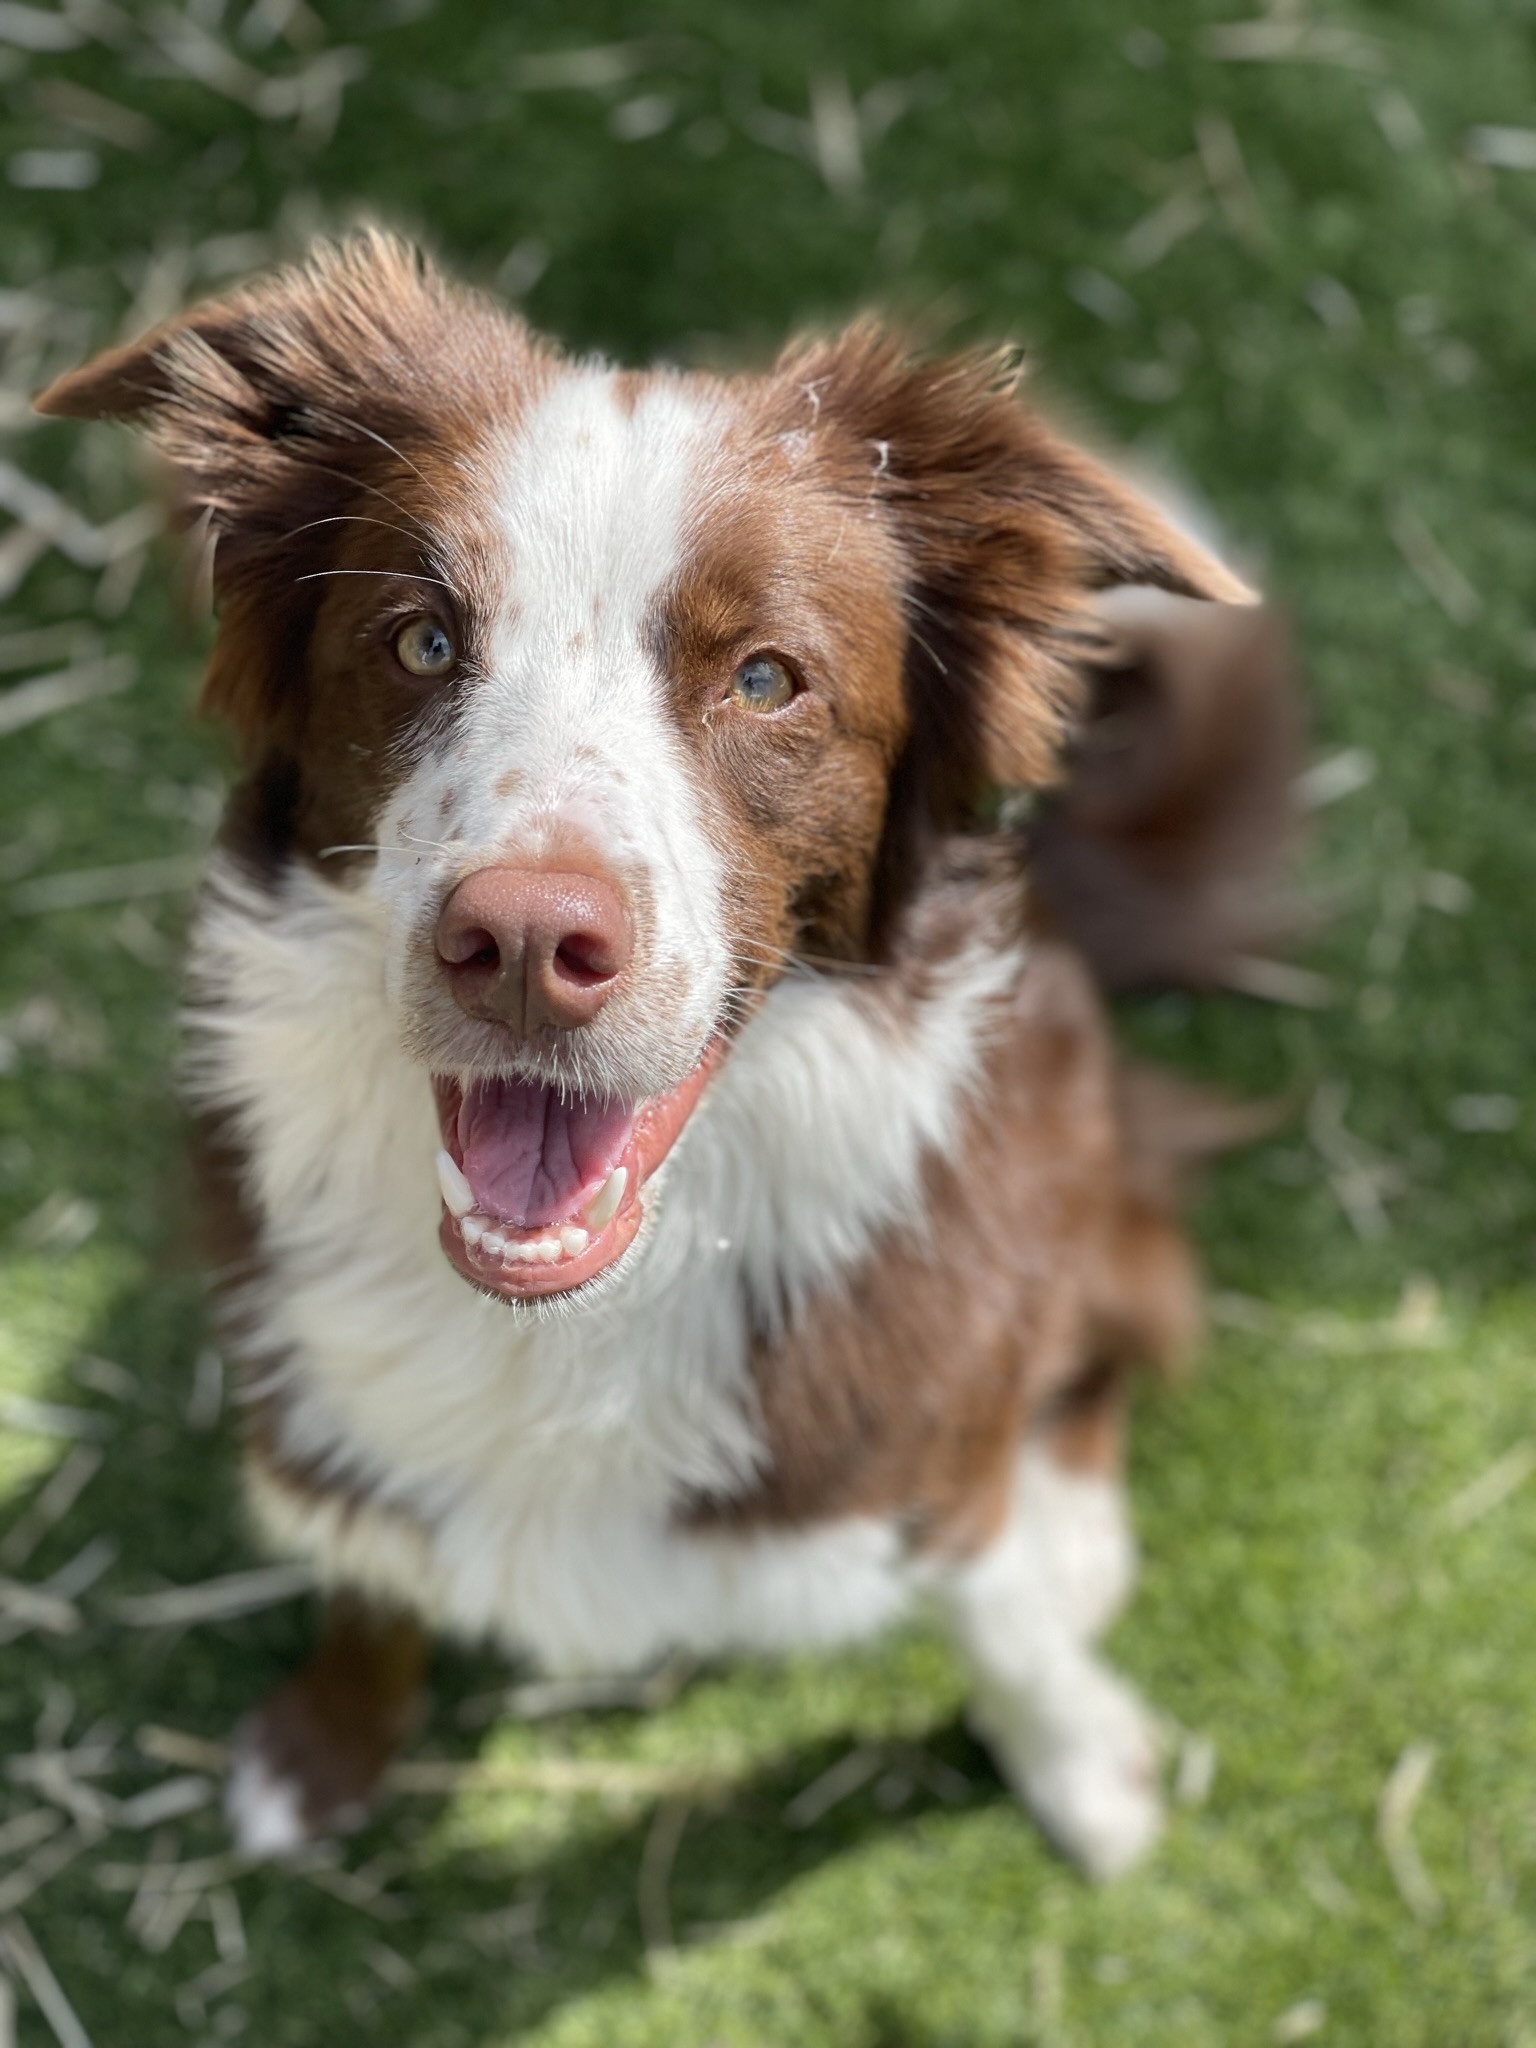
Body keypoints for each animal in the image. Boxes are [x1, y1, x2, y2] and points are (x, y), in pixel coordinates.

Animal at [36, 235, 1294, 1875]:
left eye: (765, 678)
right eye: (421, 640)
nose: (521, 942)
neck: (572, 1319)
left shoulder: (931, 1430)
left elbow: (1000, 1612)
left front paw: (1075, 1757)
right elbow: (372, 1562)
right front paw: (324, 1745)